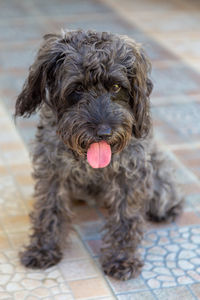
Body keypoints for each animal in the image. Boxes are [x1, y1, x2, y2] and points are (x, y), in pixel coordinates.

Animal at [14, 29, 183, 280]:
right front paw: (43, 249)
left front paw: (121, 259)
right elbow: (48, 209)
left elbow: (126, 217)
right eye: (77, 88)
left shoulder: (130, 174)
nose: (104, 132)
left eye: (116, 87)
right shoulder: (52, 171)